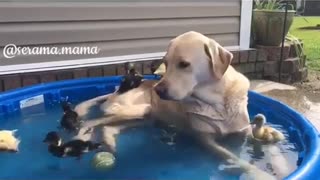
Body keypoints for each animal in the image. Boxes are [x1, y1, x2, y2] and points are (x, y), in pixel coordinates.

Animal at [74, 31, 276, 179]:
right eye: (165, 63)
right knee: (90, 123)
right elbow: (235, 158)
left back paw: (110, 144)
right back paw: (84, 139)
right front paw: (260, 174)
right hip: (134, 111)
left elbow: (253, 142)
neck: (217, 104)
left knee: (108, 127)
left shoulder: (242, 132)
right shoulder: (206, 140)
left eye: (184, 64)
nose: (157, 90)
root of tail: (116, 91)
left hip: (144, 116)